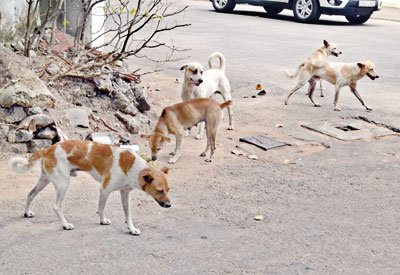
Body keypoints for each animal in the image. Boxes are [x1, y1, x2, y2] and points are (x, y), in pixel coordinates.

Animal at [7, 141, 170, 236]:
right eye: (159, 190)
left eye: (169, 189)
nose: (169, 205)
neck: (131, 166)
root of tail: (48, 149)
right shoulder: (104, 190)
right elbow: (101, 208)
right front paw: (102, 221)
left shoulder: (125, 193)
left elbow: (128, 214)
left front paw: (131, 228)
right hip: (63, 184)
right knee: (56, 207)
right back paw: (65, 225)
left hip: (45, 180)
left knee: (30, 194)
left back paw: (27, 213)